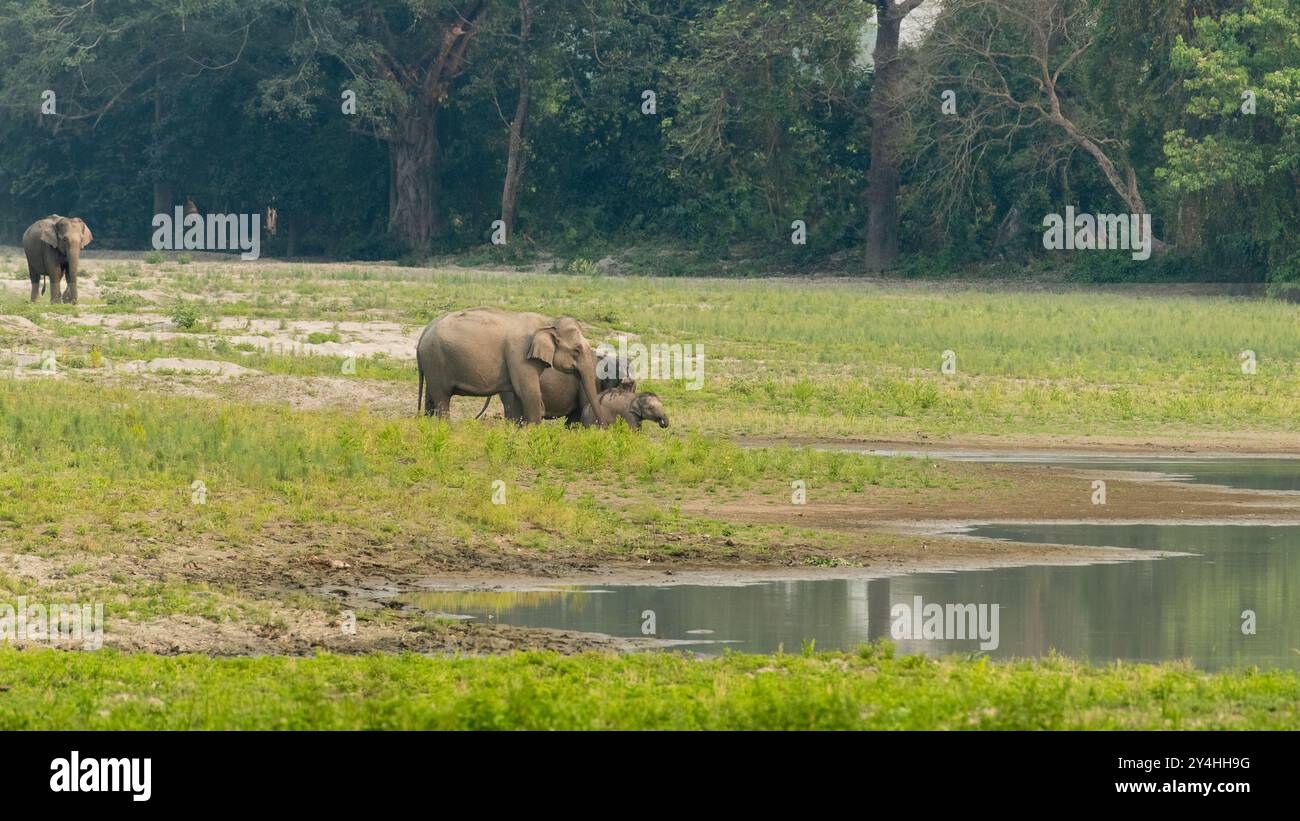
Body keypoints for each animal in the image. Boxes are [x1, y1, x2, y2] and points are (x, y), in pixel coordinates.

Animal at [421, 305, 613, 426]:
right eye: (577, 350)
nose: (605, 429)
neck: (547, 321)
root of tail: (426, 329)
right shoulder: (520, 355)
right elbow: (529, 394)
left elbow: (517, 398)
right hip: (436, 361)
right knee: (442, 399)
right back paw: (445, 430)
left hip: (431, 364)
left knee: (431, 400)